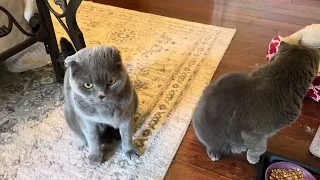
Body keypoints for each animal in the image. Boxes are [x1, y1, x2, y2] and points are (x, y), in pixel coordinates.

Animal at [60, 38, 140, 166]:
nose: (101, 95)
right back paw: (85, 144)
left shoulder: (126, 116)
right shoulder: (88, 122)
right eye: (88, 85)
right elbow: (93, 139)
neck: (104, 109)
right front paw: (94, 157)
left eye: (111, 82)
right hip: (68, 112)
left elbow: (127, 136)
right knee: (81, 134)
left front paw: (130, 151)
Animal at [192, 41, 320, 165]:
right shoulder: (255, 134)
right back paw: (215, 154)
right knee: (211, 145)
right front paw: (253, 159)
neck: (283, 76)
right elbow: (260, 148)